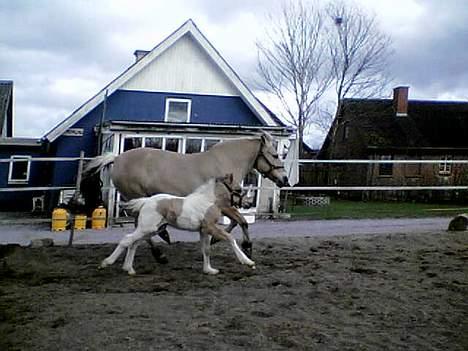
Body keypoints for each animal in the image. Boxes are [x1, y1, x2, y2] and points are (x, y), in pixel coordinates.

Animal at [84, 131, 288, 258]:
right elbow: (242, 221)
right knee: (140, 227)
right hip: (136, 196)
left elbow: (235, 222)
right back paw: (160, 253)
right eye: (275, 155)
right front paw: (247, 247)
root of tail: (117, 158)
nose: (284, 179)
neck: (223, 164)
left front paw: (215, 239)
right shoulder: (224, 205)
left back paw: (163, 236)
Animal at [99, 175, 256, 276]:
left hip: (152, 230)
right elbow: (230, 238)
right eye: (239, 189)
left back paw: (129, 269)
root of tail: (146, 201)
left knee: (134, 243)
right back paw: (107, 262)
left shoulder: (203, 231)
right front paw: (247, 261)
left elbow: (206, 250)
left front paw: (209, 270)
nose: (248, 204)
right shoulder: (210, 227)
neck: (208, 201)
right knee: (127, 239)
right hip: (147, 228)